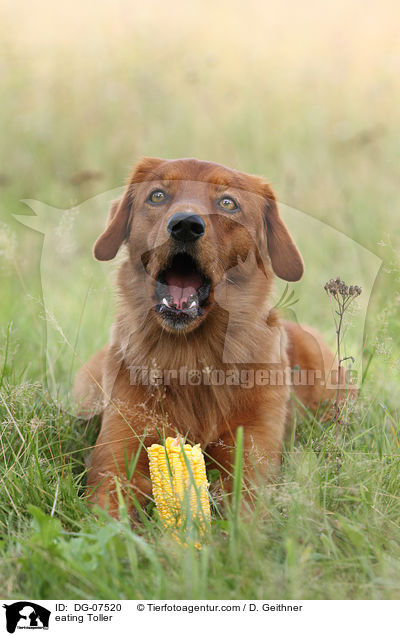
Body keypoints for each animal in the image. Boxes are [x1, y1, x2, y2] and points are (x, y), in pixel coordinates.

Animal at [76, 157, 344, 516]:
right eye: (157, 195)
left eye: (228, 203)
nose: (185, 225)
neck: (193, 355)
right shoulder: (116, 458)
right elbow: (109, 514)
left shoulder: (250, 458)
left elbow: (244, 516)